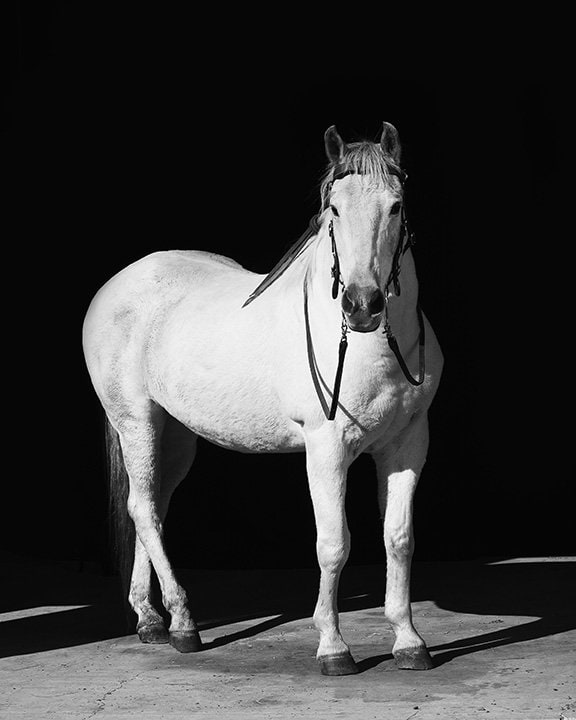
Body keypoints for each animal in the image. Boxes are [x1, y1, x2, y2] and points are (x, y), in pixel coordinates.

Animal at [82, 122, 443, 676]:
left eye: (396, 206)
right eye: (334, 209)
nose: (362, 306)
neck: (374, 349)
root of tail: (117, 283)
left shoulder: (407, 445)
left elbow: (398, 539)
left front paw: (408, 641)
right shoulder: (326, 449)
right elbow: (334, 544)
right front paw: (333, 648)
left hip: (175, 434)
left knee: (152, 506)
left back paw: (150, 620)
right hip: (135, 422)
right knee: (142, 508)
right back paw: (183, 625)